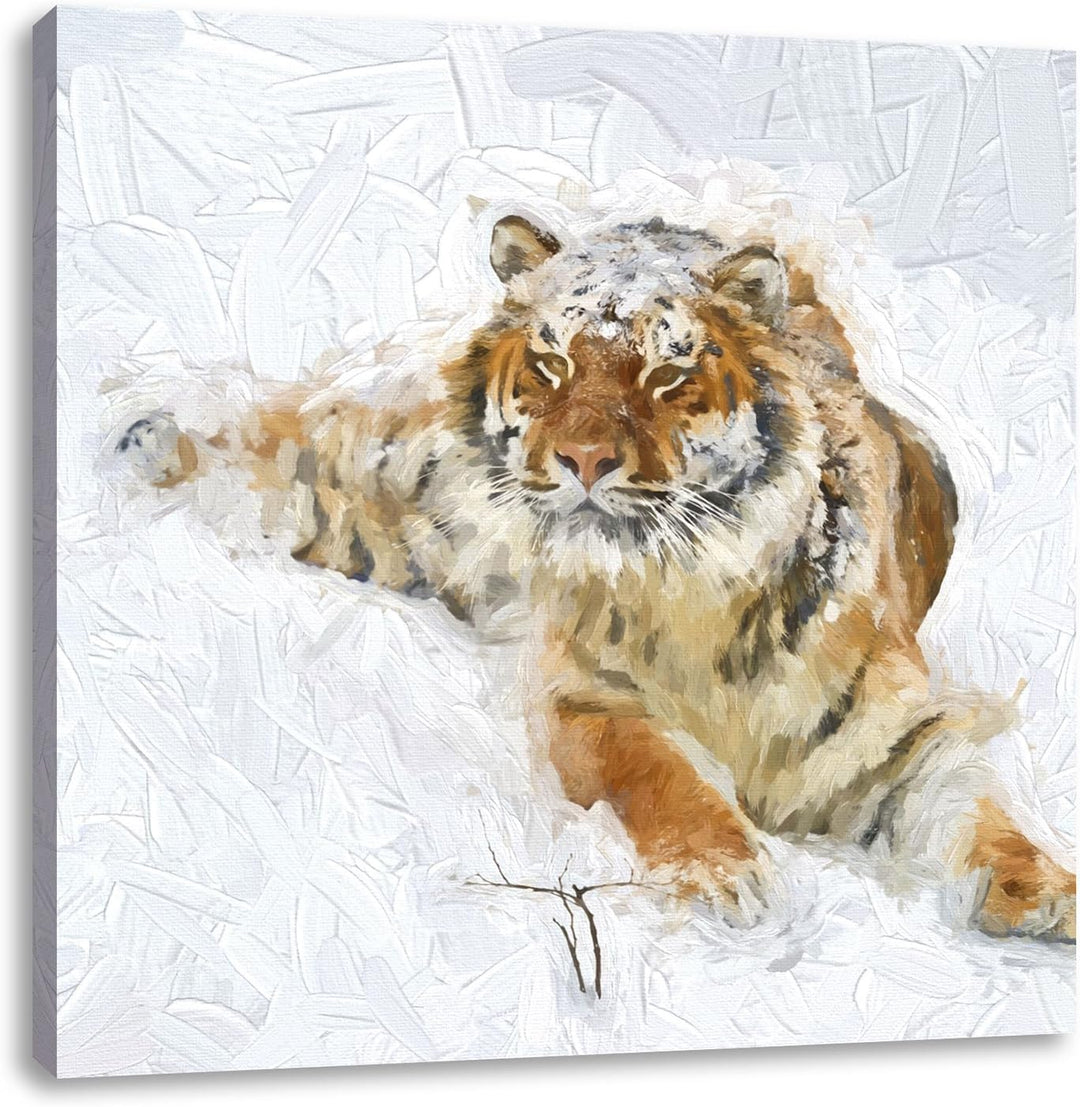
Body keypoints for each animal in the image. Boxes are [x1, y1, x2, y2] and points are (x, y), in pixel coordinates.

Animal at [117, 213, 1075, 941]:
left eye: (668, 370)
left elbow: (978, 809)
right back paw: (150, 439)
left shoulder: (900, 731)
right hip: (402, 492)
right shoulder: (590, 698)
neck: (693, 590)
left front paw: (1041, 892)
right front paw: (726, 875)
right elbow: (662, 775)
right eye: (552, 365)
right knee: (303, 456)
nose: (583, 458)